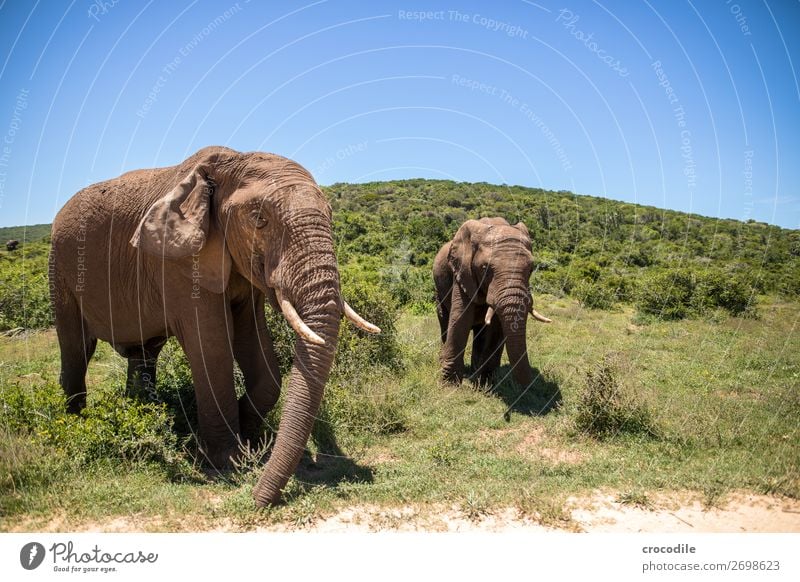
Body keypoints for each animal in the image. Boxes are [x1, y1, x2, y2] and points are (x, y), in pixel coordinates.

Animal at [48, 146, 380, 506]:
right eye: (259, 219)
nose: (257, 499)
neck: (229, 163)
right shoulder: (176, 261)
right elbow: (213, 345)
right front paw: (229, 460)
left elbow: (256, 345)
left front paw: (252, 442)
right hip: (59, 269)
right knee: (77, 349)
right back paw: (76, 423)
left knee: (144, 352)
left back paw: (144, 414)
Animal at [432, 219, 552, 392]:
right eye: (485, 269)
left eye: (530, 269)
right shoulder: (462, 273)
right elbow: (461, 320)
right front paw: (449, 386)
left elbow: (497, 329)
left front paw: (485, 387)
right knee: (445, 321)